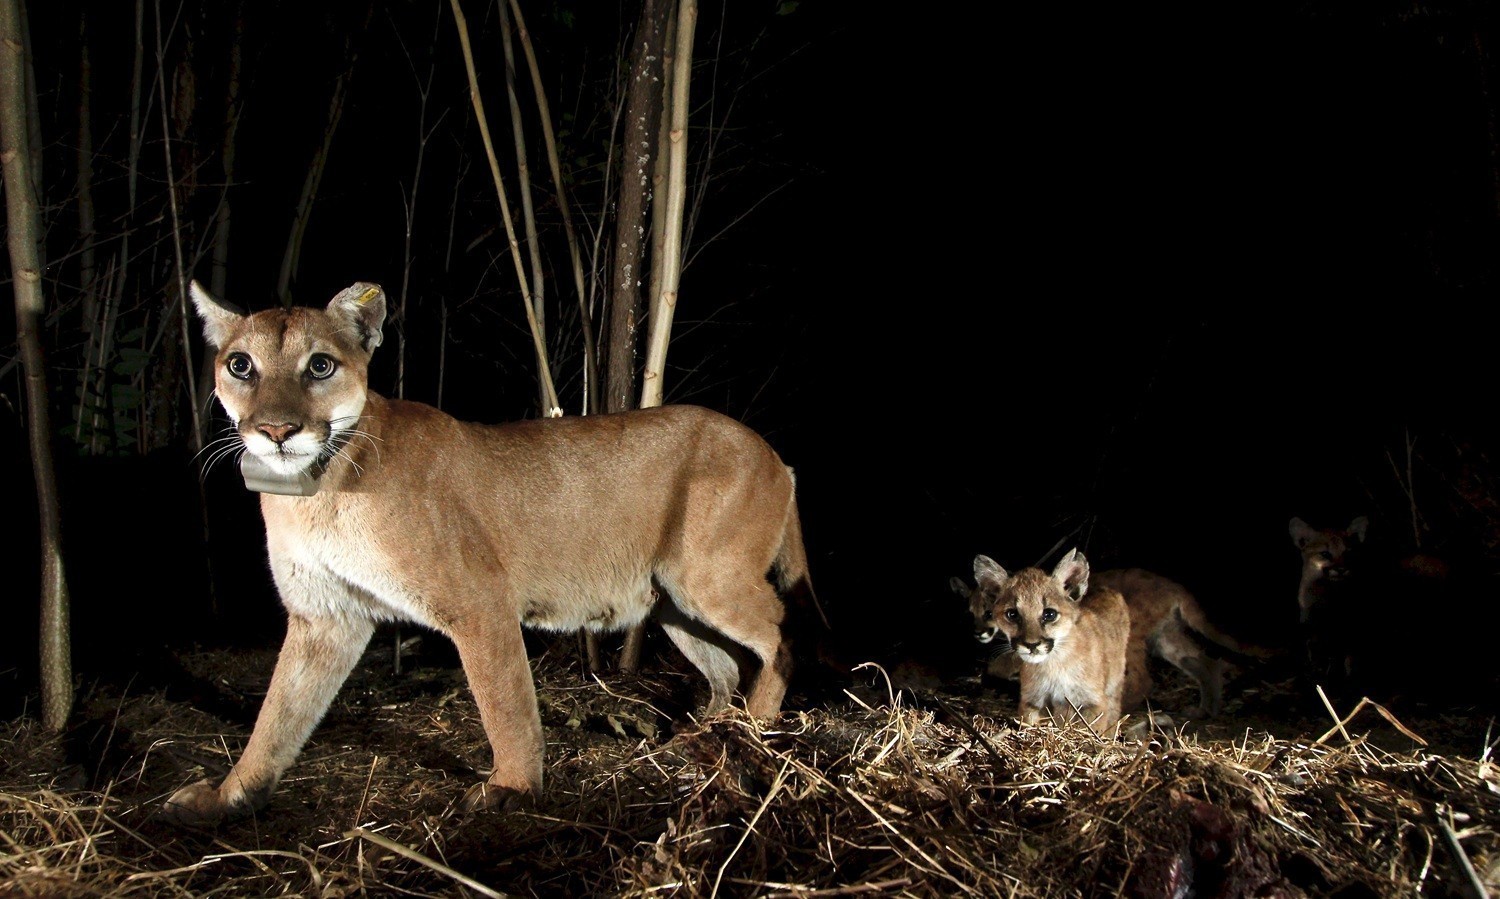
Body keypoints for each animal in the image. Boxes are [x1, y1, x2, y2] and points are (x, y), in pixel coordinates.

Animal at [164, 285, 822, 828]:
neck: (316, 490)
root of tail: (775, 455)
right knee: (726, 666)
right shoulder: (325, 617)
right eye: (240, 365)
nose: (277, 431)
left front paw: (512, 788)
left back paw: (758, 728)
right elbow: (277, 716)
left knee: (782, 634)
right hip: (671, 602)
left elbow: (505, 702)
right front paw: (229, 798)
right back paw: (704, 738)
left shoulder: (480, 602)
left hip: (707, 578)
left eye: (320, 365)